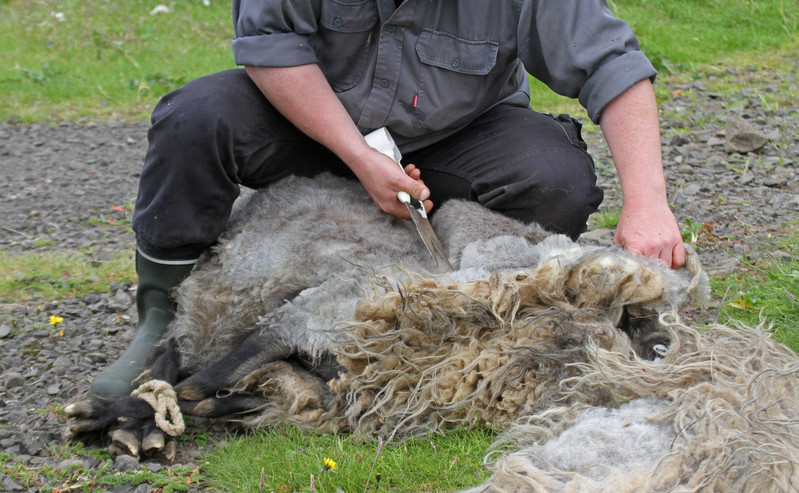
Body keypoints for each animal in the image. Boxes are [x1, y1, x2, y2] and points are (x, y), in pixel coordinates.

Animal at [67, 172, 799, 488]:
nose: (656, 342)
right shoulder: (341, 300)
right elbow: (247, 356)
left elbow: (250, 381)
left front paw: (152, 413)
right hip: (244, 290)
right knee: (189, 344)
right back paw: (134, 409)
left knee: (202, 358)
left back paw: (143, 413)